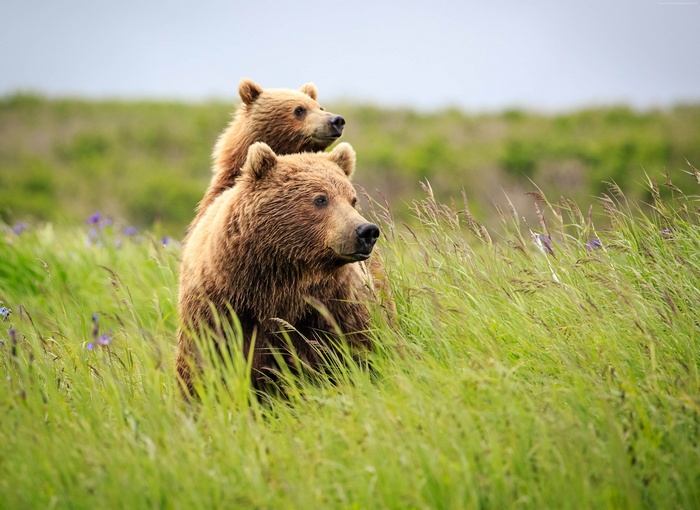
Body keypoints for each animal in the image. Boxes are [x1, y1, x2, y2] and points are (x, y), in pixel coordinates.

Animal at [176, 142, 389, 397]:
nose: (366, 231)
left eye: (352, 199)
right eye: (320, 199)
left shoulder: (333, 305)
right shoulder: (220, 310)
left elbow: (356, 349)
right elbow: (205, 364)